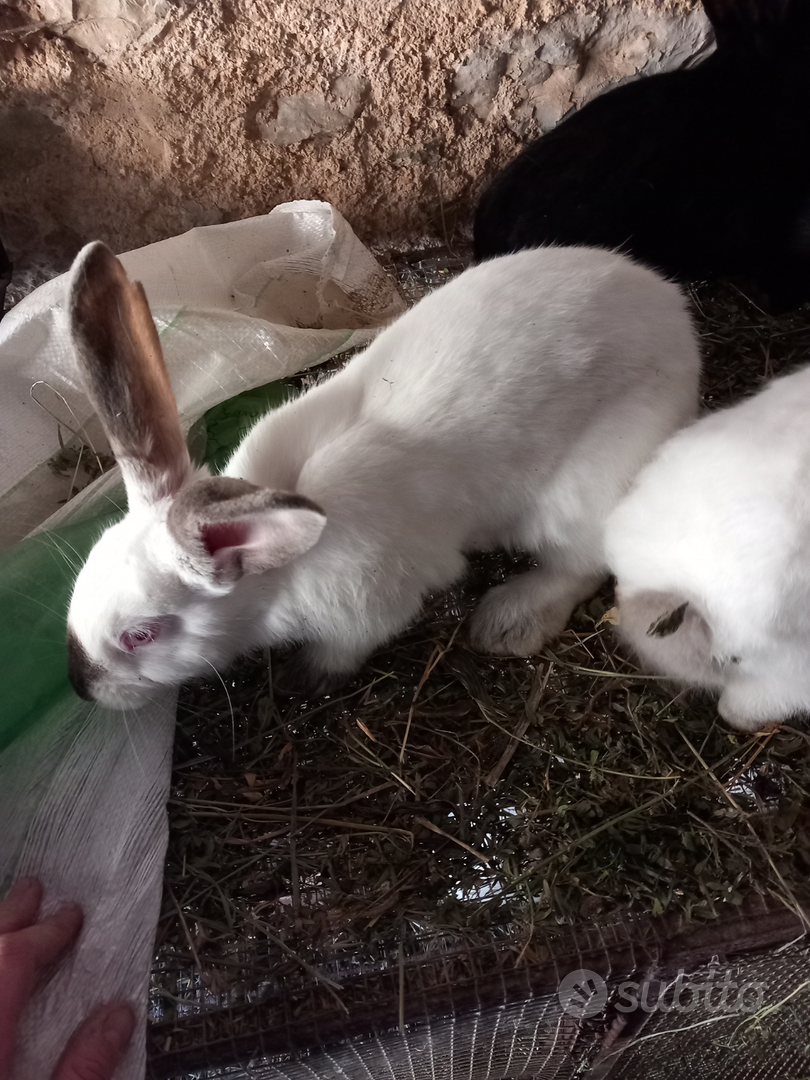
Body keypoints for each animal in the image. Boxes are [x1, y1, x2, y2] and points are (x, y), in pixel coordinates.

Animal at [63, 241, 699, 708]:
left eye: (141, 634)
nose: (82, 688)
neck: (281, 569)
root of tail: (674, 313)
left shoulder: (368, 608)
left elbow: (346, 648)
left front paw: (304, 679)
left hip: (584, 490)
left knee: (581, 564)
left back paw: (506, 623)